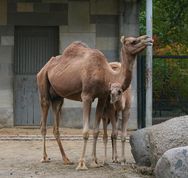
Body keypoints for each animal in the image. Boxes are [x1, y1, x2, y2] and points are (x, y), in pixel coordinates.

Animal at [36, 34, 153, 170]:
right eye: (133, 41)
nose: (149, 39)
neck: (107, 75)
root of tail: (43, 68)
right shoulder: (86, 96)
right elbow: (86, 131)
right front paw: (82, 164)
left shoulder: (102, 97)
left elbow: (96, 130)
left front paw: (95, 162)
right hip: (43, 84)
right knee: (43, 122)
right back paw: (44, 158)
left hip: (58, 97)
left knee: (56, 126)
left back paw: (66, 159)